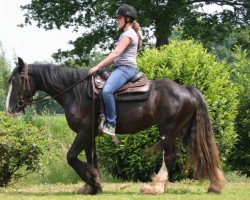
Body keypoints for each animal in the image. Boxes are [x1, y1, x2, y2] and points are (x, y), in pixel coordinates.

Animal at [5, 57, 226, 195]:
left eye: (18, 80)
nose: (10, 108)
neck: (76, 93)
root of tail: (187, 89)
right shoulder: (90, 134)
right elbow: (90, 158)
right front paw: (92, 186)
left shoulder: (84, 132)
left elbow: (71, 157)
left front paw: (93, 181)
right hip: (185, 130)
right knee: (203, 151)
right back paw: (215, 185)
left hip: (168, 130)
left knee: (170, 156)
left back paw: (155, 188)